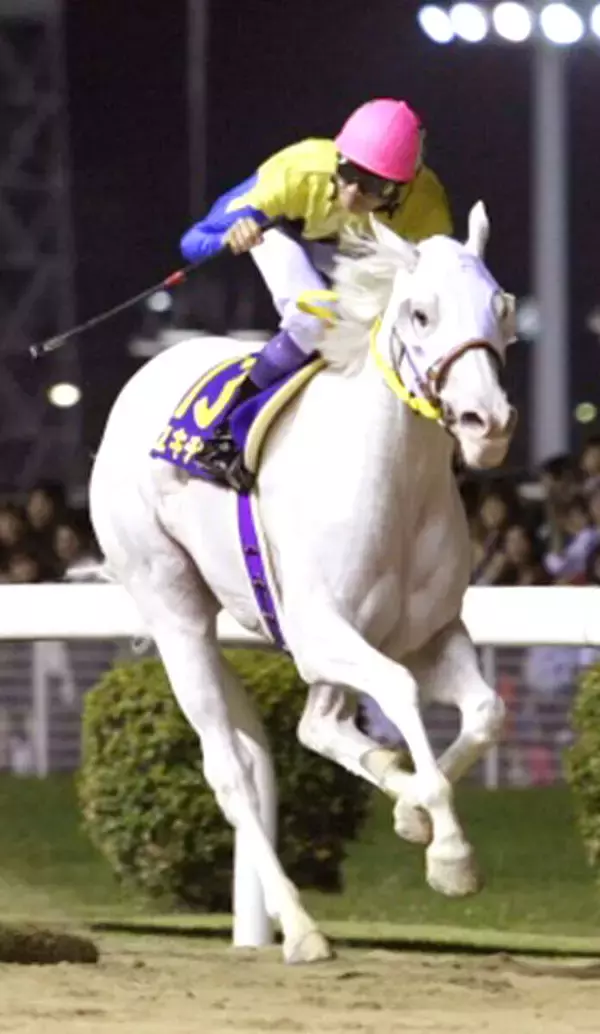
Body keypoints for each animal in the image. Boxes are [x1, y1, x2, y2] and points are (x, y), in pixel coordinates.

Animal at [89, 202, 517, 964]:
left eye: (502, 305)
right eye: (419, 314)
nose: (486, 423)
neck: (393, 484)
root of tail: (144, 377)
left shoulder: (431, 634)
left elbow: (486, 712)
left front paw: (416, 812)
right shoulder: (320, 633)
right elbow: (400, 692)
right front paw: (450, 854)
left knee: (319, 726)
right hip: (172, 606)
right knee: (231, 769)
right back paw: (301, 927)